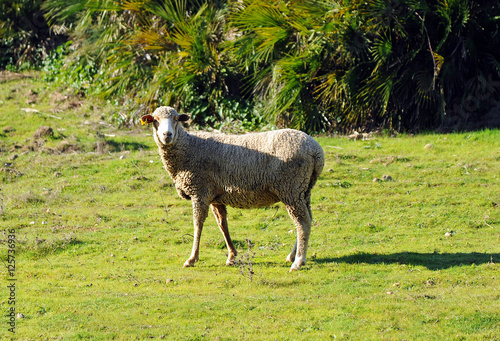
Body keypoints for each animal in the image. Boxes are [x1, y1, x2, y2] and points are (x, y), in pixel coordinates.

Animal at [143, 106, 326, 270]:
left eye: (175, 119)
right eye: (155, 120)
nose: (167, 135)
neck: (187, 148)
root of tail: (316, 151)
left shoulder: (199, 191)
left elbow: (197, 224)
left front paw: (192, 258)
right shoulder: (214, 196)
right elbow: (222, 224)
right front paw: (232, 256)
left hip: (291, 187)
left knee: (302, 222)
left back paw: (299, 261)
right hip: (303, 189)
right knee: (308, 218)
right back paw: (292, 255)